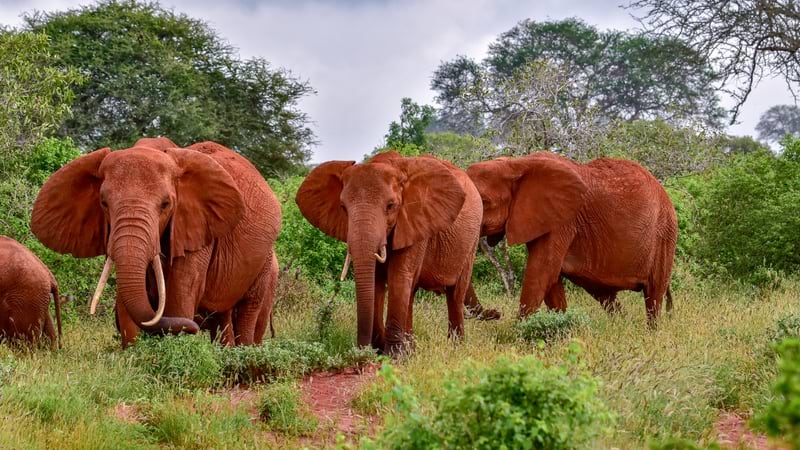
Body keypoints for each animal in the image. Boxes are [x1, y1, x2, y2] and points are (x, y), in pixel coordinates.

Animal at [31, 137, 281, 348]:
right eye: (103, 203)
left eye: (165, 205)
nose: (195, 326)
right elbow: (127, 307)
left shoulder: (196, 226)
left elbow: (181, 295)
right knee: (223, 317)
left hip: (265, 264)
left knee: (248, 312)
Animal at [296, 151, 482, 355]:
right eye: (343, 208)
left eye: (391, 206)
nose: (361, 350)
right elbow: (376, 280)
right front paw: (381, 351)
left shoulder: (416, 222)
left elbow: (398, 276)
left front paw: (393, 356)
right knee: (412, 292)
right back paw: (412, 349)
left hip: (472, 239)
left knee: (455, 294)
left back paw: (456, 348)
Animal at [467, 152, 677, 326]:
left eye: (485, 202)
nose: (496, 313)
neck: (517, 163)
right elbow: (551, 281)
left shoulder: (563, 221)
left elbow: (541, 272)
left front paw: (517, 333)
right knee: (607, 298)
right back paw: (623, 327)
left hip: (664, 235)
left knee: (653, 296)